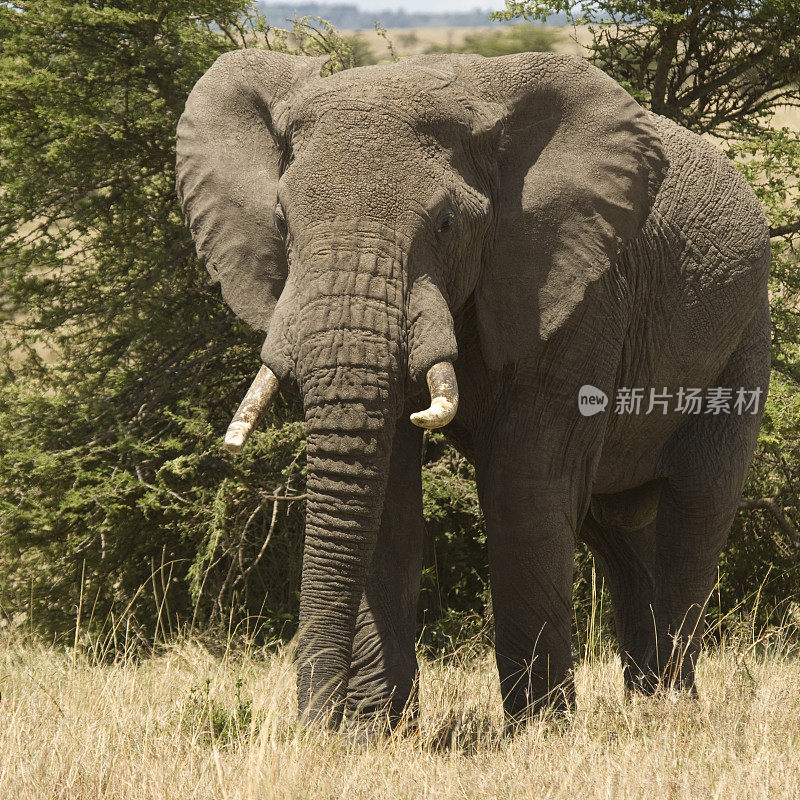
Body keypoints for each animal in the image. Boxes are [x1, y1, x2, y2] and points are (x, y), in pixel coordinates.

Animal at [175, 47, 768, 728]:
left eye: (447, 224)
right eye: (282, 221)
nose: (313, 720)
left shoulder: (576, 290)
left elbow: (524, 489)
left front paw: (539, 731)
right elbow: (389, 500)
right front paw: (371, 732)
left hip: (744, 336)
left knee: (697, 510)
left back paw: (672, 709)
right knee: (621, 532)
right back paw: (649, 703)